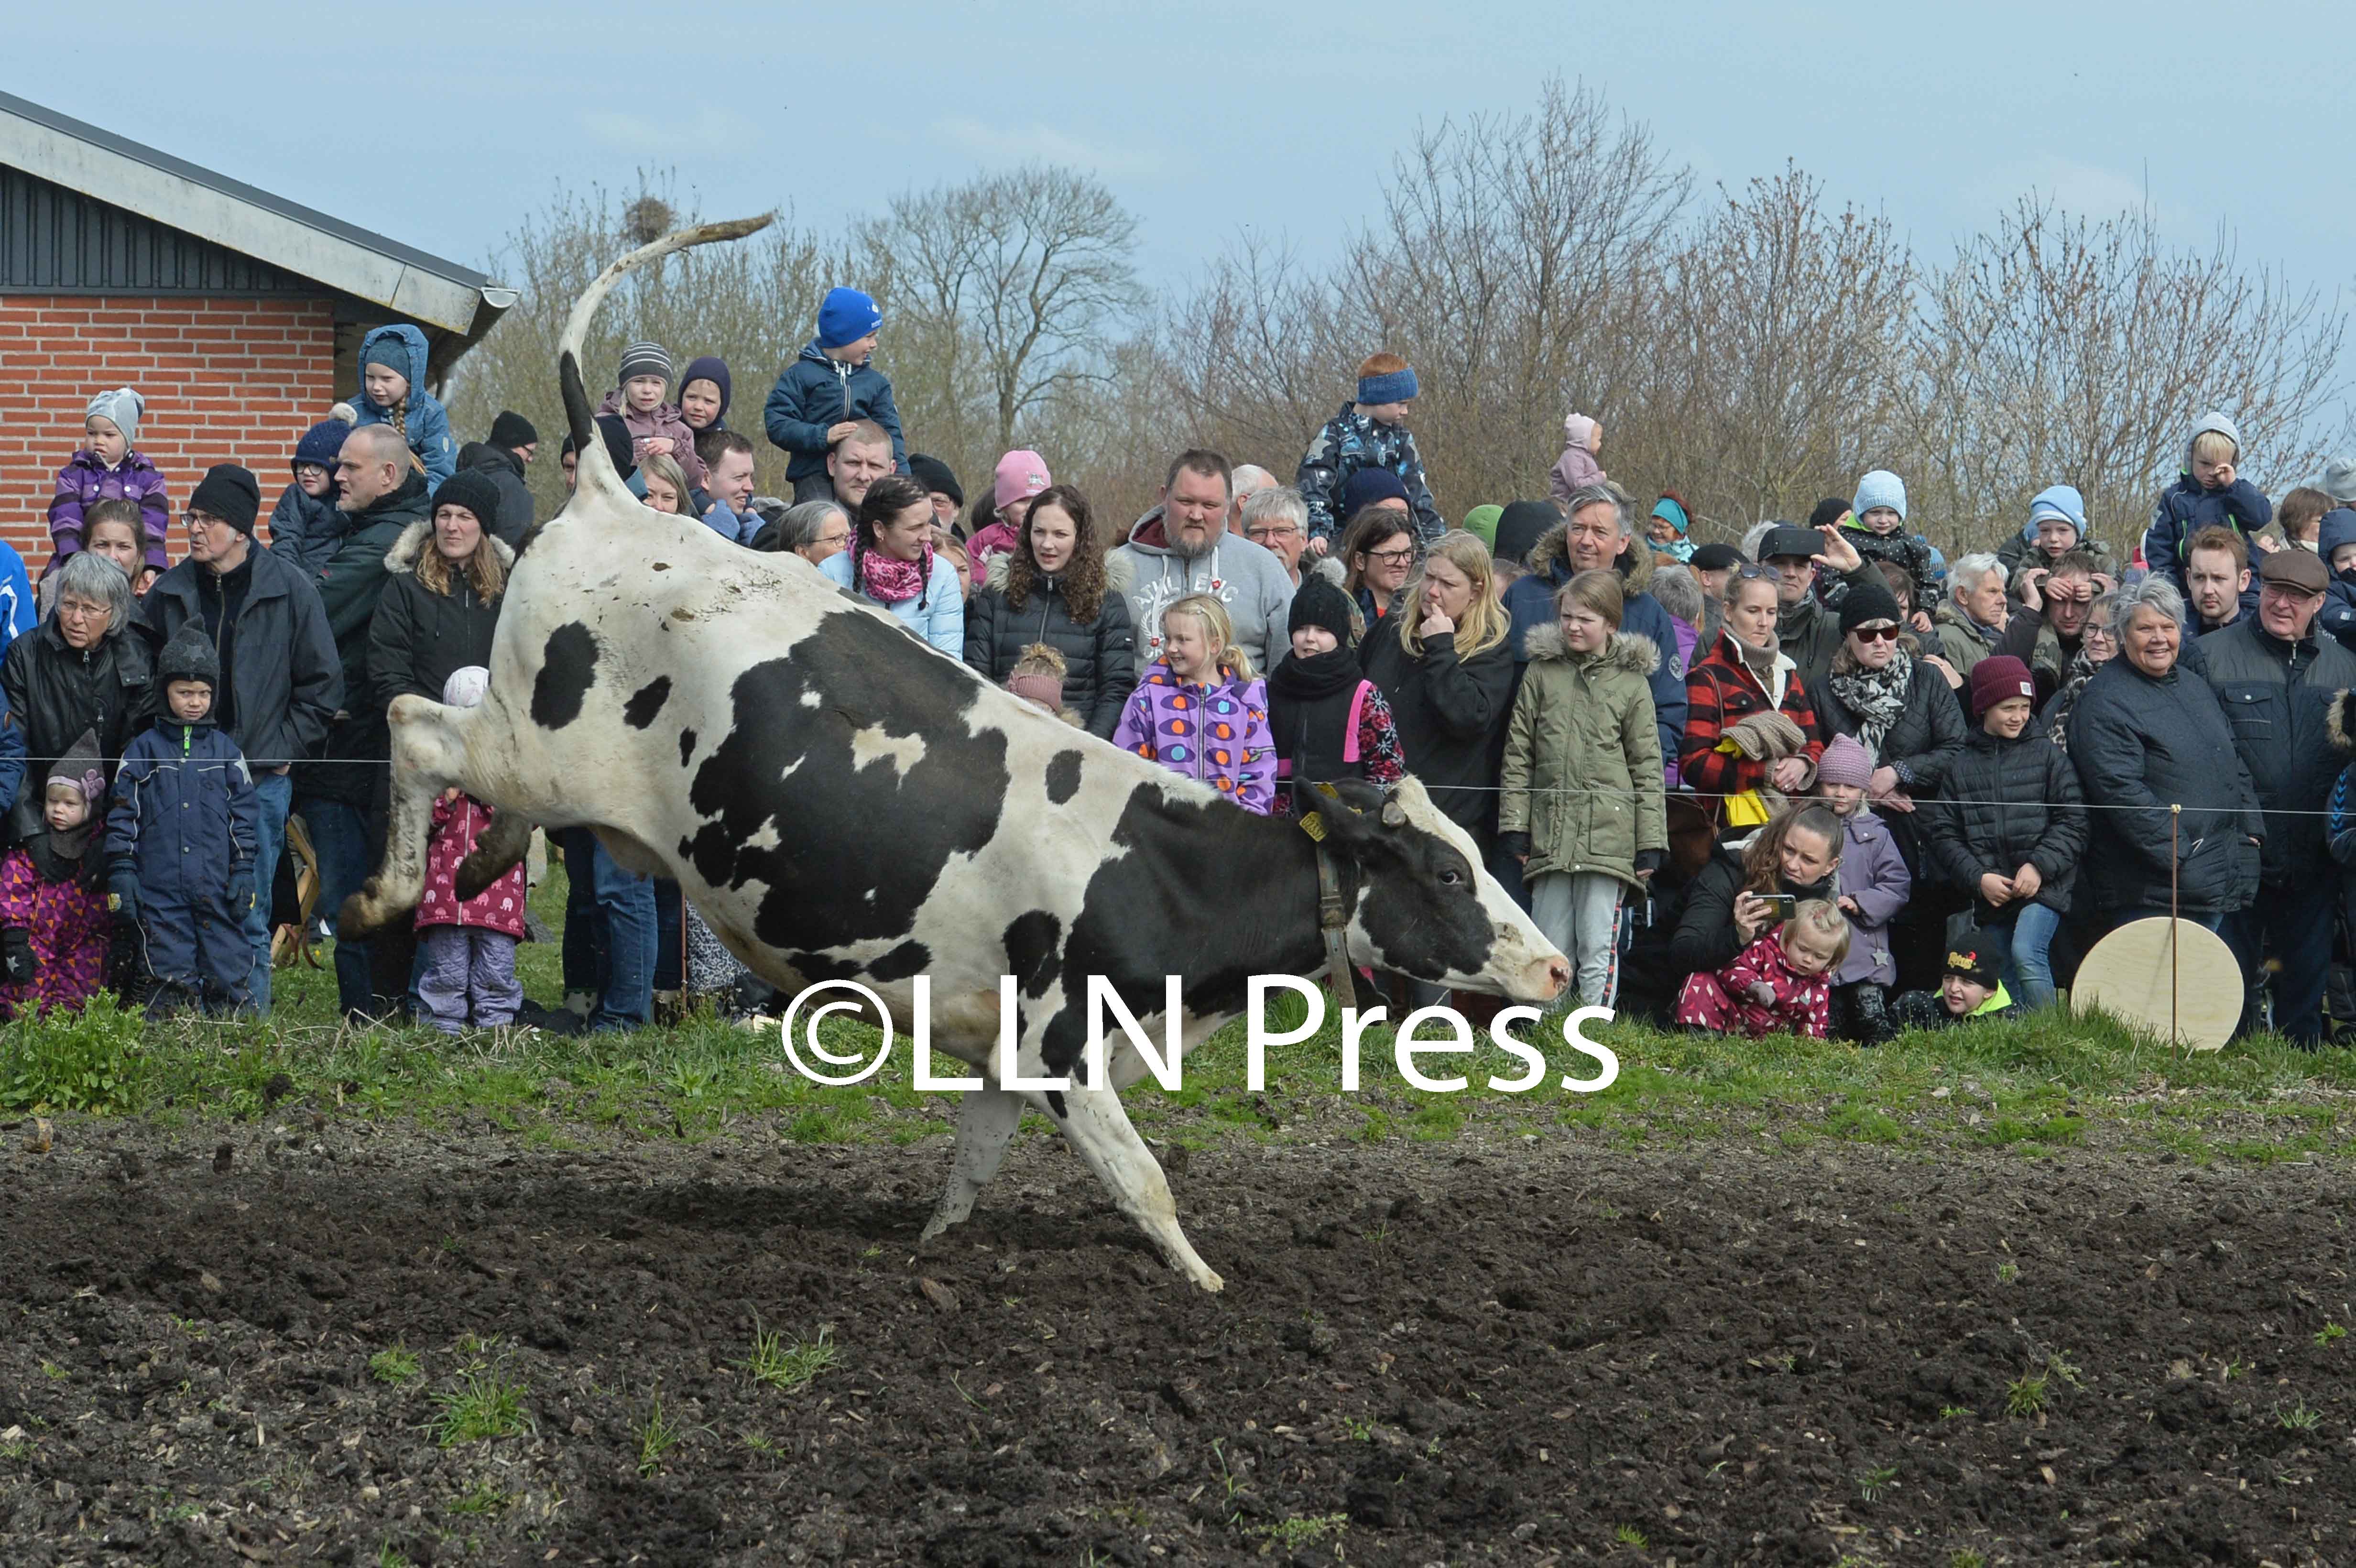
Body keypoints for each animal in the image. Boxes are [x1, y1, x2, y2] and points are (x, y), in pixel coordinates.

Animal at [338, 216, 1570, 1292]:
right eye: (1447, 869)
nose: (1558, 967)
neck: (1160, 872)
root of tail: (612, 493)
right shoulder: (1065, 1042)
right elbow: (1145, 1182)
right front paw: (1208, 1281)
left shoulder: (1005, 1052)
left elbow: (969, 1172)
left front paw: (932, 1251)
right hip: (529, 743)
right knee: (412, 723)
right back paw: (383, 890)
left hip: (537, 760)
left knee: (467, 777)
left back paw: (484, 861)